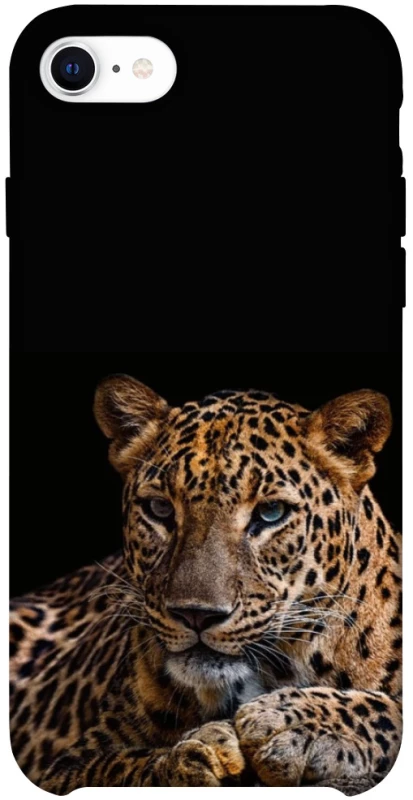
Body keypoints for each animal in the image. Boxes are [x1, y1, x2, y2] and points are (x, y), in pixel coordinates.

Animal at [10, 375, 402, 794]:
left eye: (271, 512)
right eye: (160, 509)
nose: (196, 615)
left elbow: (387, 708)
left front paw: (289, 722)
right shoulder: (66, 767)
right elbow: (124, 766)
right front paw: (196, 756)